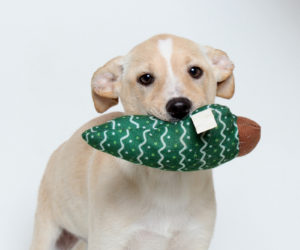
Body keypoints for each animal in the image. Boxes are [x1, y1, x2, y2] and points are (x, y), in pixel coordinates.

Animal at [30, 33, 236, 250]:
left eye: (195, 71)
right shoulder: (108, 241)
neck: (167, 178)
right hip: (47, 232)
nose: (179, 106)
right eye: (145, 78)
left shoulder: (194, 239)